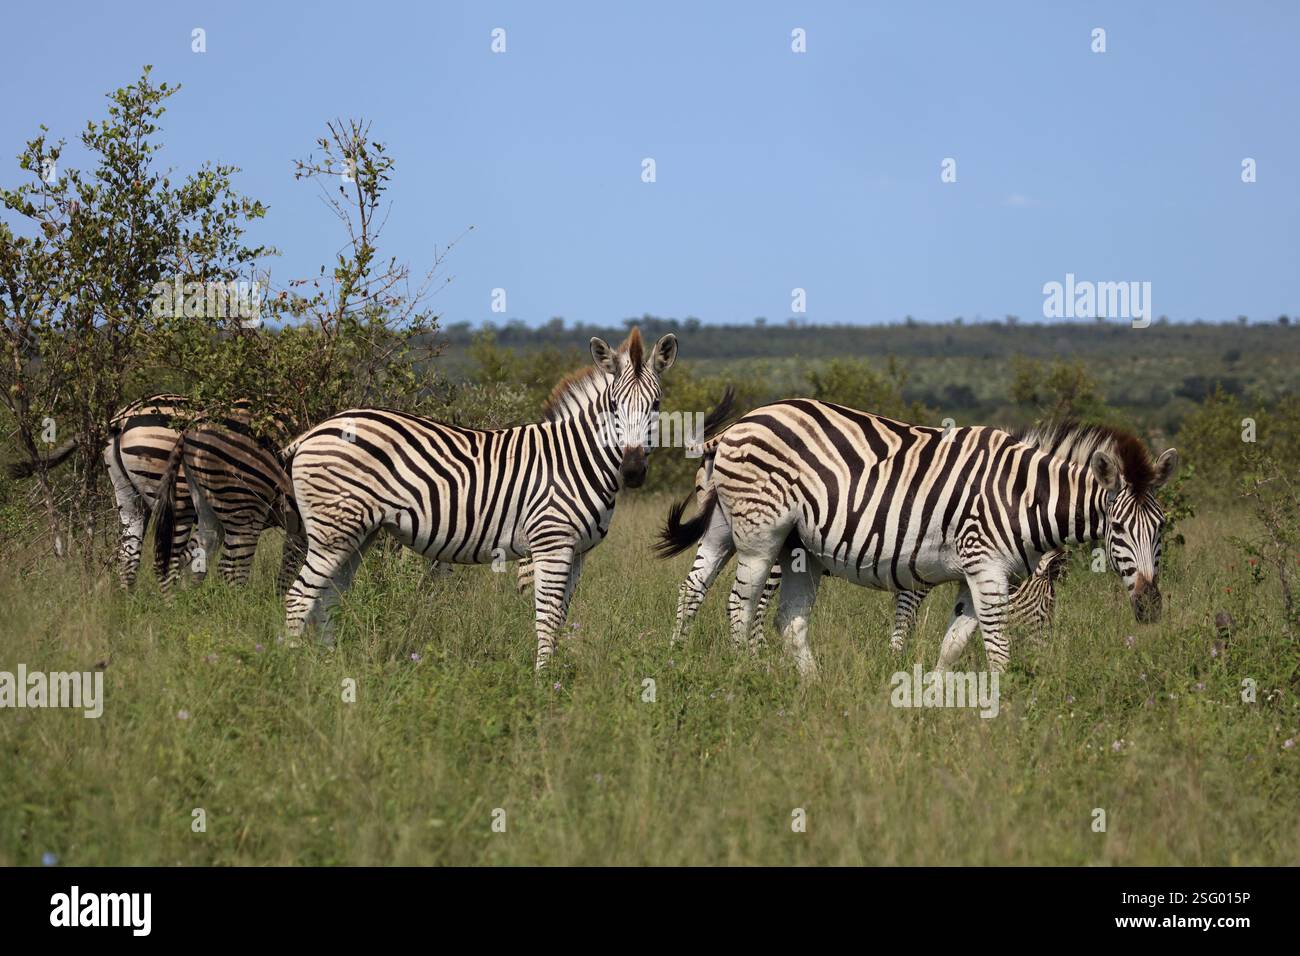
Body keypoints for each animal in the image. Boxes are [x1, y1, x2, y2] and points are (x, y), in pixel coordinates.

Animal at [281, 327, 678, 669]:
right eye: (613, 405)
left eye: (656, 404)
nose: (633, 470)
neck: (576, 459)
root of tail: (313, 433)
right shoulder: (551, 543)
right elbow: (547, 618)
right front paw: (543, 683)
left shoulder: (578, 551)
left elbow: (561, 616)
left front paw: (555, 678)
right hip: (333, 531)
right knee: (298, 597)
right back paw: (292, 669)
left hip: (358, 532)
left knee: (329, 597)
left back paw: (331, 666)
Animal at [662, 449, 1070, 651]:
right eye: (1048, 604)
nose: (1046, 653)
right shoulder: (918, 575)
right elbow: (906, 615)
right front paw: (896, 657)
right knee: (752, 601)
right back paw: (756, 655)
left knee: (698, 586)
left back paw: (680, 650)